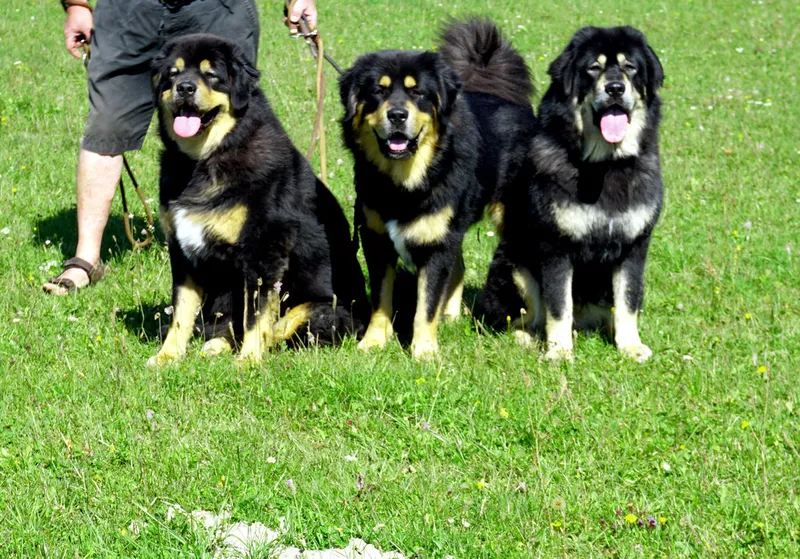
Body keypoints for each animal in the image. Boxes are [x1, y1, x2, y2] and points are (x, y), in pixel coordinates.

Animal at [148, 34, 368, 365]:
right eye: (173, 74)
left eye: (211, 74)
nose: (184, 87)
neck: (205, 159)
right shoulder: (184, 250)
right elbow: (181, 312)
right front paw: (167, 357)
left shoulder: (262, 251)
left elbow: (255, 314)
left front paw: (249, 360)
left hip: (323, 308)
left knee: (285, 326)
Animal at [339, 18, 536, 359]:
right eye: (378, 90)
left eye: (417, 92)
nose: (397, 115)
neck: (405, 183)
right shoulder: (377, 238)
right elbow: (381, 299)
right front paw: (374, 342)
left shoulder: (436, 242)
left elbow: (426, 304)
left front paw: (424, 352)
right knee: (458, 267)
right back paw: (452, 316)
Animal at [480, 26, 665, 362]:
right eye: (593, 68)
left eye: (630, 67)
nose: (615, 88)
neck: (605, 167)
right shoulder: (556, 246)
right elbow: (558, 305)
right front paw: (560, 352)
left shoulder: (633, 246)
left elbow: (628, 302)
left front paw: (630, 346)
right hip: (516, 269)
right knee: (519, 319)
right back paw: (530, 339)